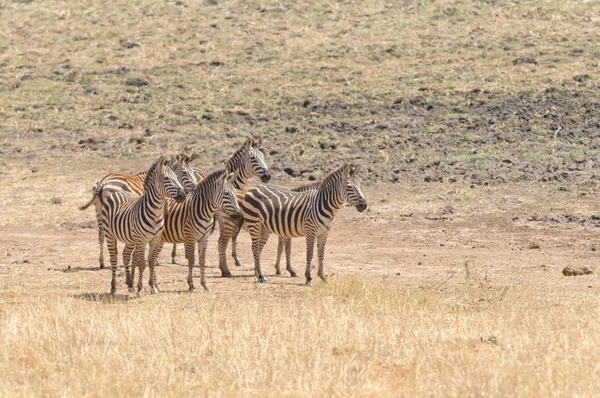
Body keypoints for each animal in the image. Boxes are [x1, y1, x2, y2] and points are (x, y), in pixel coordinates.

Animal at [99, 157, 186, 296]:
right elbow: (142, 263)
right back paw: (113, 287)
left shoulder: (155, 240)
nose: (183, 195)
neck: (155, 213)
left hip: (129, 238)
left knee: (125, 255)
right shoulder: (141, 241)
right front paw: (140, 288)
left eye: (176, 177)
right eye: (166, 178)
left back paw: (129, 284)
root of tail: (117, 192)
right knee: (114, 258)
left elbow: (151, 262)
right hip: (110, 235)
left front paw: (153, 287)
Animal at [169, 137, 272, 276]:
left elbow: (227, 238)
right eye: (253, 158)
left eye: (263, 156)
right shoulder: (226, 217)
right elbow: (228, 238)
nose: (267, 176)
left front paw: (229, 262)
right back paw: (174, 256)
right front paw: (229, 263)